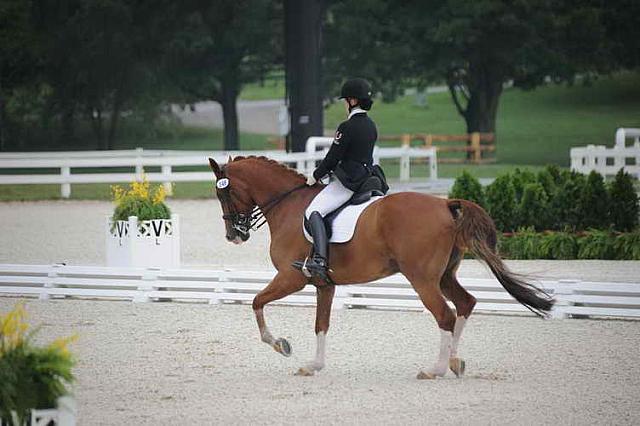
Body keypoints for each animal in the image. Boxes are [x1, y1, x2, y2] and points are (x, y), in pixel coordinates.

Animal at [208, 155, 552, 378]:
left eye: (224, 191)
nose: (233, 235)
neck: (288, 205)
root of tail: (444, 203)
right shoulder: (324, 284)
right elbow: (321, 325)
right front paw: (313, 365)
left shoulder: (290, 278)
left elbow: (256, 302)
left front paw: (281, 345)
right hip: (443, 276)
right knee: (465, 303)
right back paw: (455, 363)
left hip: (422, 279)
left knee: (446, 315)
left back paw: (435, 369)